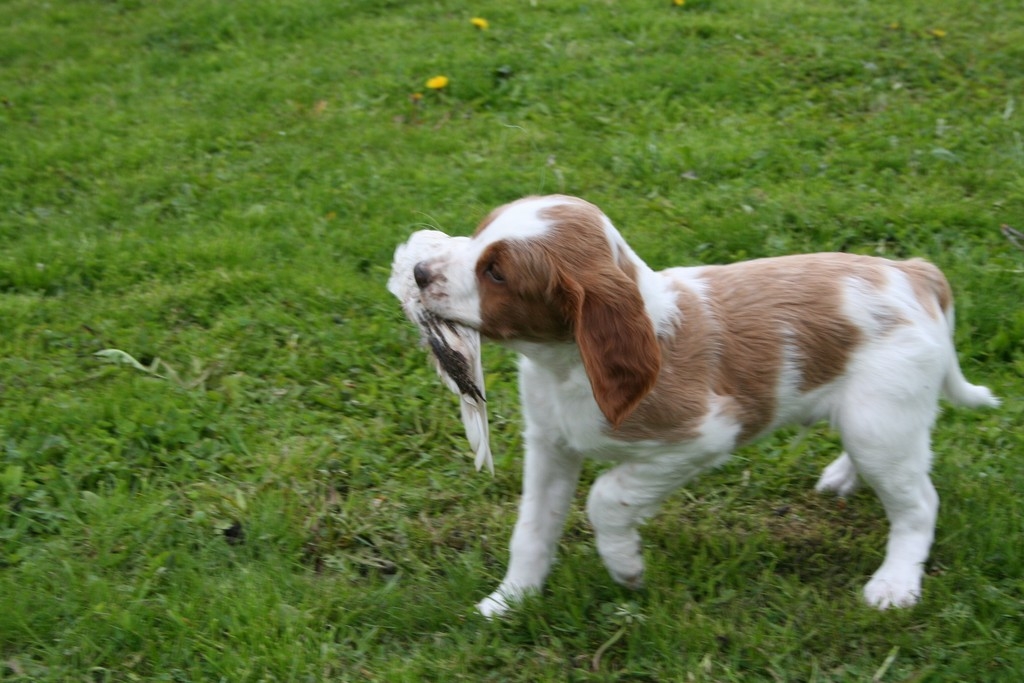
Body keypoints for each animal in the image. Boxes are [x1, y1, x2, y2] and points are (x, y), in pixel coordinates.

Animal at [409, 194, 998, 618]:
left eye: (496, 273)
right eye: (479, 232)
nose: (417, 272)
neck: (566, 362)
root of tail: (913, 272)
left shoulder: (700, 435)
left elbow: (607, 498)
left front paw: (625, 566)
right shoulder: (550, 446)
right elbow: (532, 529)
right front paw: (509, 601)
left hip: (880, 420)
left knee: (918, 503)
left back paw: (895, 584)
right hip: (871, 419)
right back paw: (842, 477)